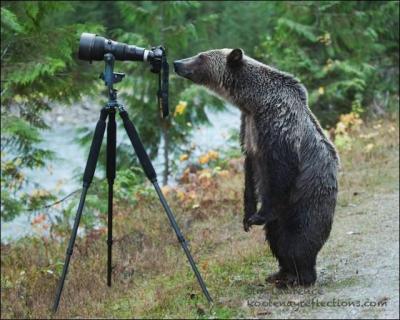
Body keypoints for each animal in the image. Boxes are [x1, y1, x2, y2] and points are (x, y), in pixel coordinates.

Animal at [173, 49, 340, 288]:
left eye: (201, 56)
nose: (177, 63)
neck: (254, 102)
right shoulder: (248, 128)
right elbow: (249, 171)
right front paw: (247, 217)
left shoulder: (278, 127)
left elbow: (280, 171)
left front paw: (258, 216)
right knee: (276, 237)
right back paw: (280, 273)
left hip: (306, 200)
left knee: (298, 238)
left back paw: (299, 276)